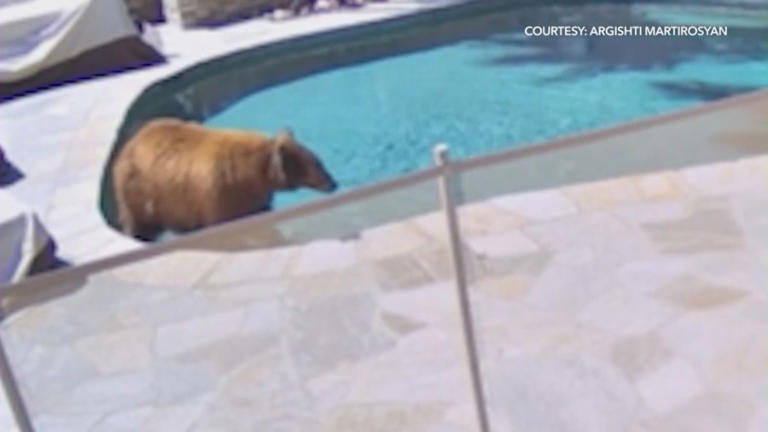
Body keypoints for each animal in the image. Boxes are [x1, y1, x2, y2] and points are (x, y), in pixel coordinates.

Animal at [111, 116, 336, 241]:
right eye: (317, 164)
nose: (333, 183)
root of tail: (129, 144)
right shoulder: (219, 197)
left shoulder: (251, 199)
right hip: (140, 192)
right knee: (138, 223)